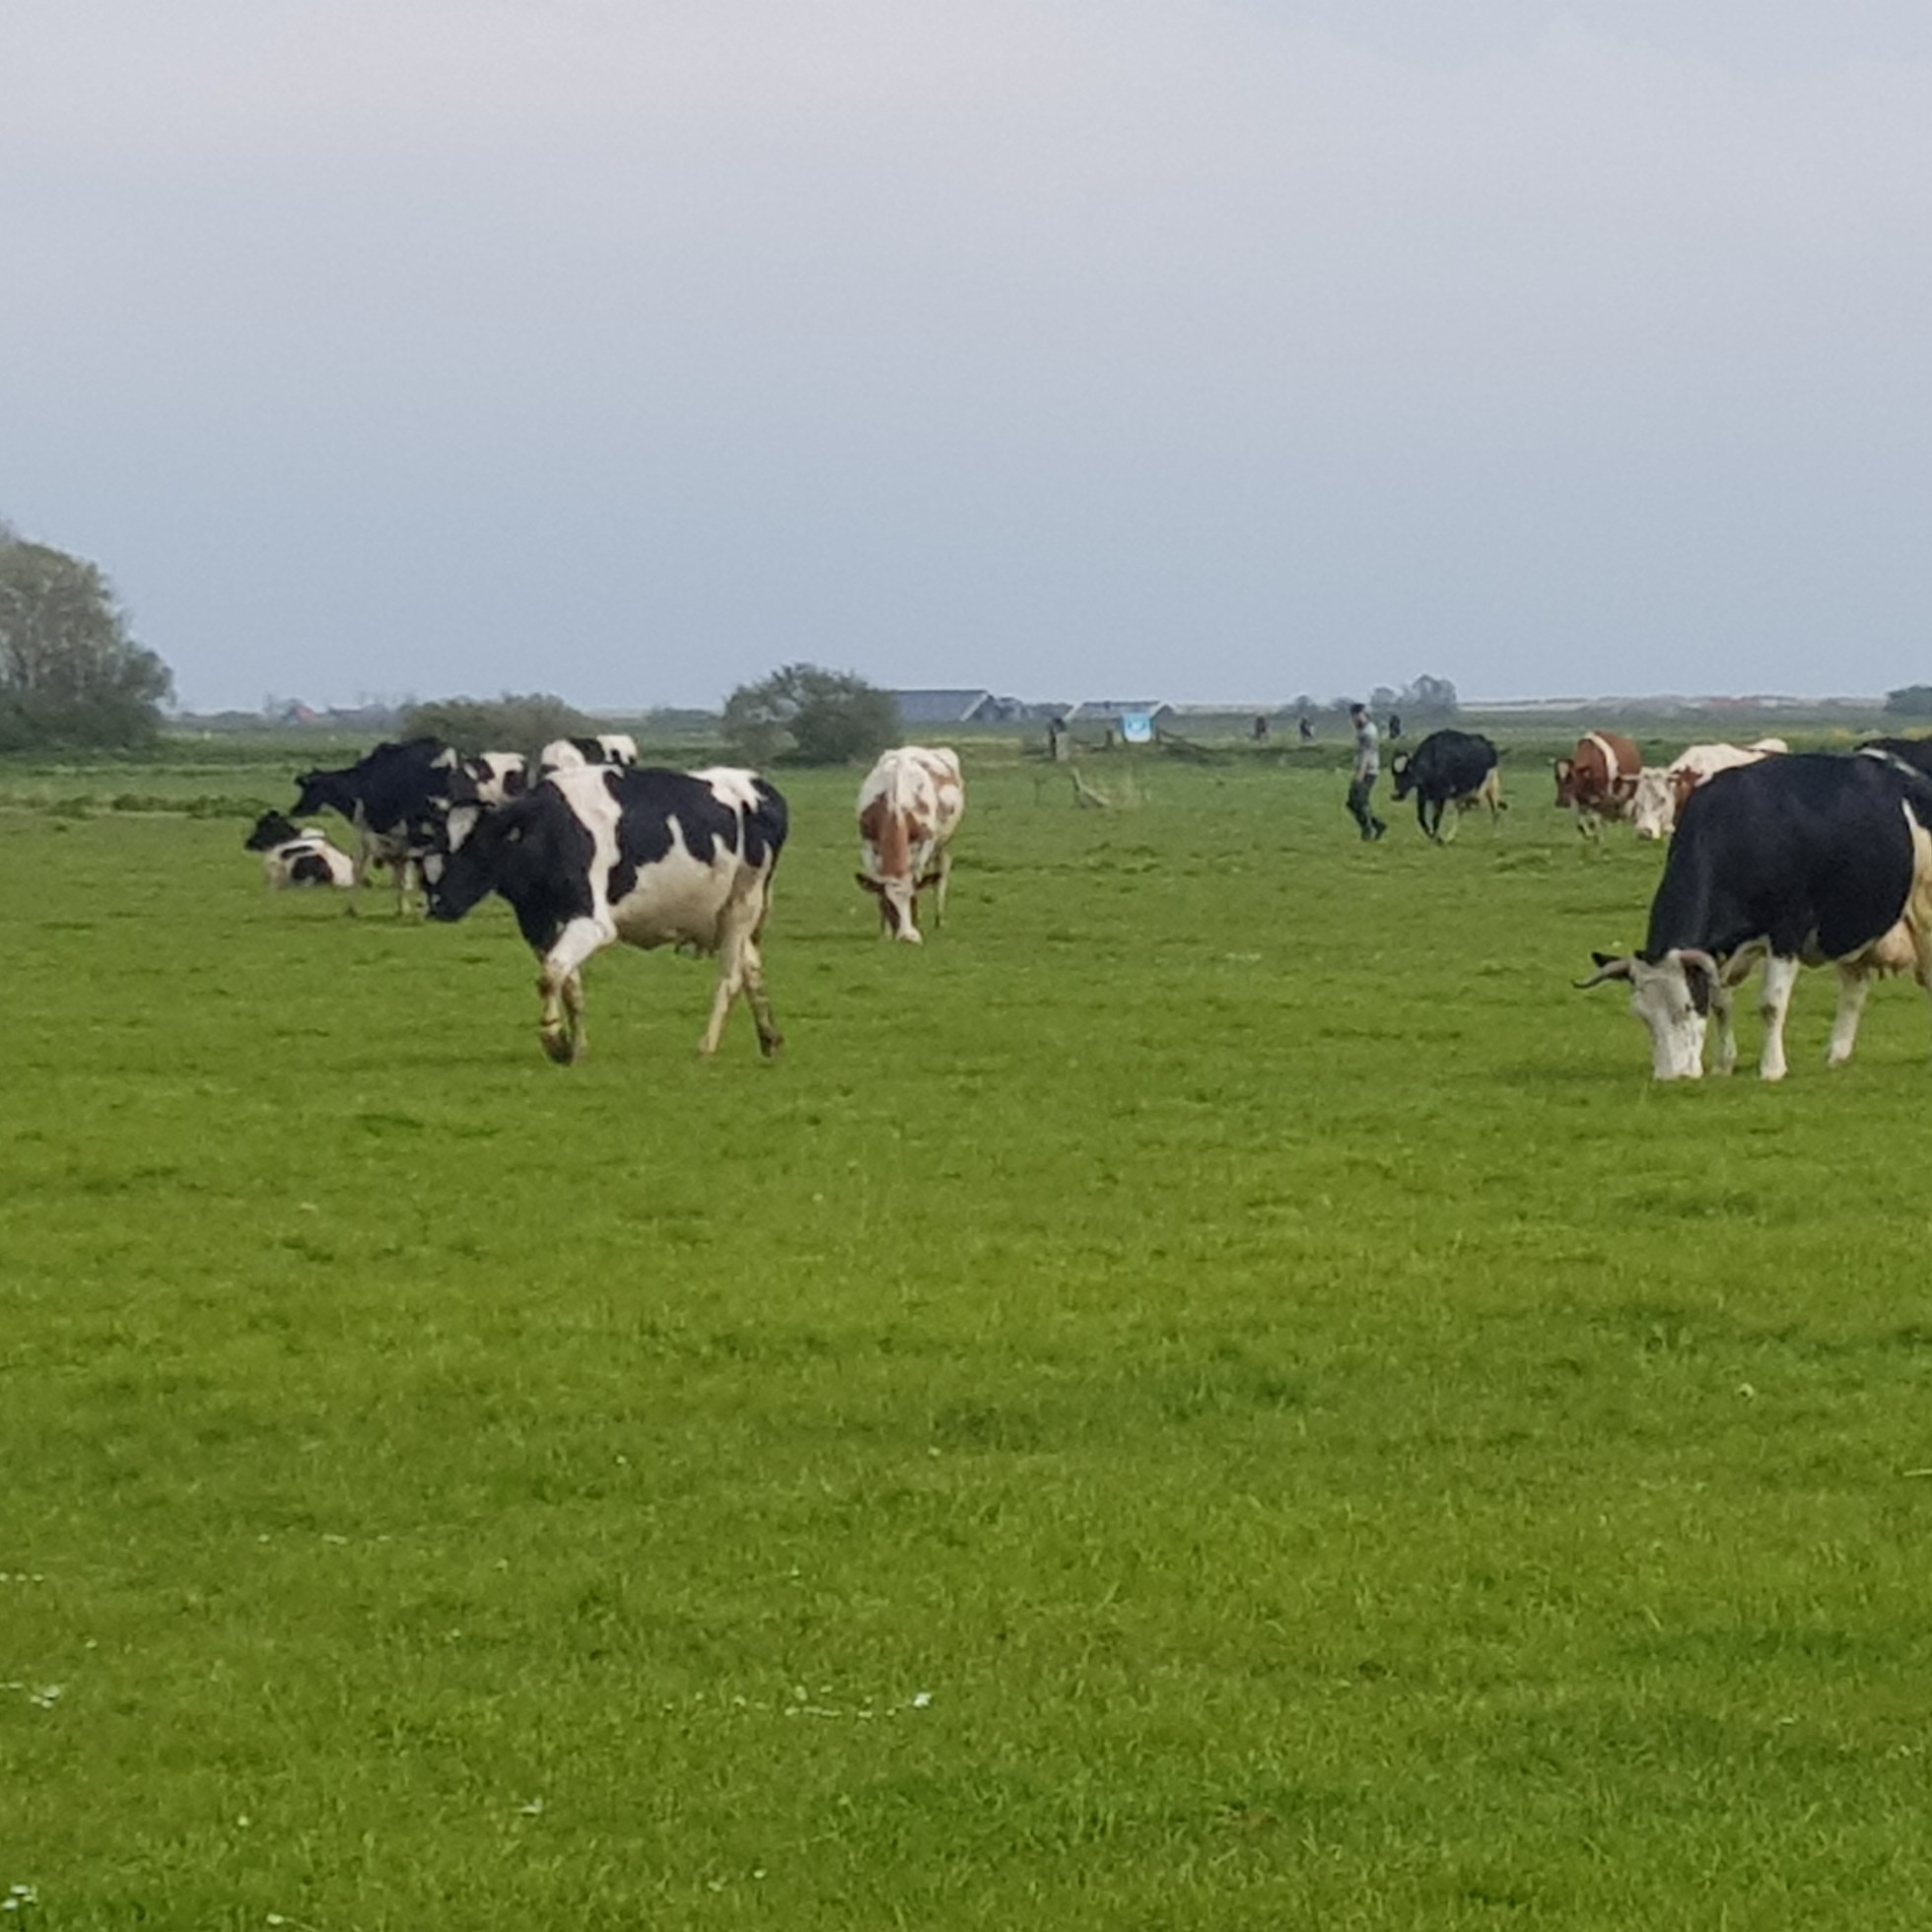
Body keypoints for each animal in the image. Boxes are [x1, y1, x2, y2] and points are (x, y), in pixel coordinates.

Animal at [289, 738, 478, 915]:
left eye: (308, 788)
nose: (294, 809)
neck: (356, 785)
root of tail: (451, 756)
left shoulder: (366, 828)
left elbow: (360, 865)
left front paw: (353, 908)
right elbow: (399, 863)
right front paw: (404, 905)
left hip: (430, 815)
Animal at [415, 763, 787, 1064]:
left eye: (479, 843)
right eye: (438, 842)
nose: (438, 903)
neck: (549, 827)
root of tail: (759, 786)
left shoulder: (593, 922)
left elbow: (551, 975)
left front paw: (553, 1037)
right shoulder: (537, 921)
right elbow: (567, 981)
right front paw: (574, 1046)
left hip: (743, 903)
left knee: (731, 976)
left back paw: (707, 1045)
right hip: (725, 915)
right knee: (751, 967)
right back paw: (769, 1038)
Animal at [855, 746, 966, 942]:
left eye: (912, 898)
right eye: (889, 904)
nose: (907, 938)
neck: (895, 805)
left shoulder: (923, 845)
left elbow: (918, 879)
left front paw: (916, 923)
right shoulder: (868, 846)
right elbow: (876, 886)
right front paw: (885, 932)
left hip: (944, 845)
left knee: (941, 877)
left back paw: (939, 920)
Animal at [1579, 752, 1932, 1080]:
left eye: (1687, 1005)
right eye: (1643, 1015)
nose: (1671, 1076)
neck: (1738, 828)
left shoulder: (1786, 931)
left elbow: (1771, 1005)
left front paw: (1772, 1068)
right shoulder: (1718, 951)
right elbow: (1722, 1004)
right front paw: (1723, 1065)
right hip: (1847, 925)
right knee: (1855, 987)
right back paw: (1836, 1053)